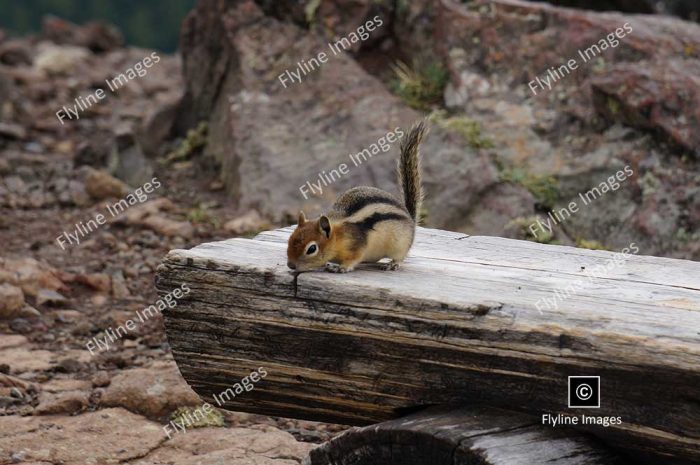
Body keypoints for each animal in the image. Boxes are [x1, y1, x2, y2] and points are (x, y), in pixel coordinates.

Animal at [286, 119, 426, 272]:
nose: (290, 265)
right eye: (290, 239)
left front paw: (341, 267)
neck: (338, 235)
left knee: (400, 256)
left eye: (311, 249)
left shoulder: (356, 247)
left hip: (400, 245)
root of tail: (411, 220)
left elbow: (353, 259)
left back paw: (393, 264)